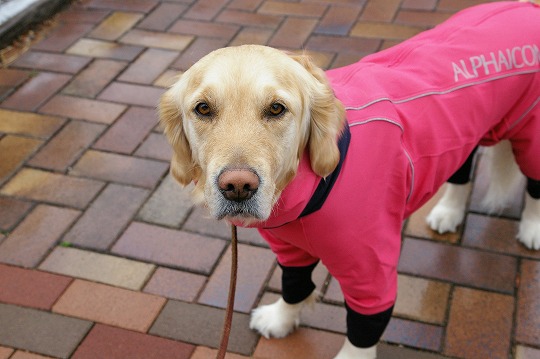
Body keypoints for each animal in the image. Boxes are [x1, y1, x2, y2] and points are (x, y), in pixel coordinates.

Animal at [160, 1, 540, 358]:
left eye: (276, 108)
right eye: (203, 109)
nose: (238, 186)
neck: (314, 185)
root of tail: (523, 6)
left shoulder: (371, 270)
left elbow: (364, 323)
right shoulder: (289, 249)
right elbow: (294, 283)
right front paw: (282, 319)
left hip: (531, 134)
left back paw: (532, 230)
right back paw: (449, 211)